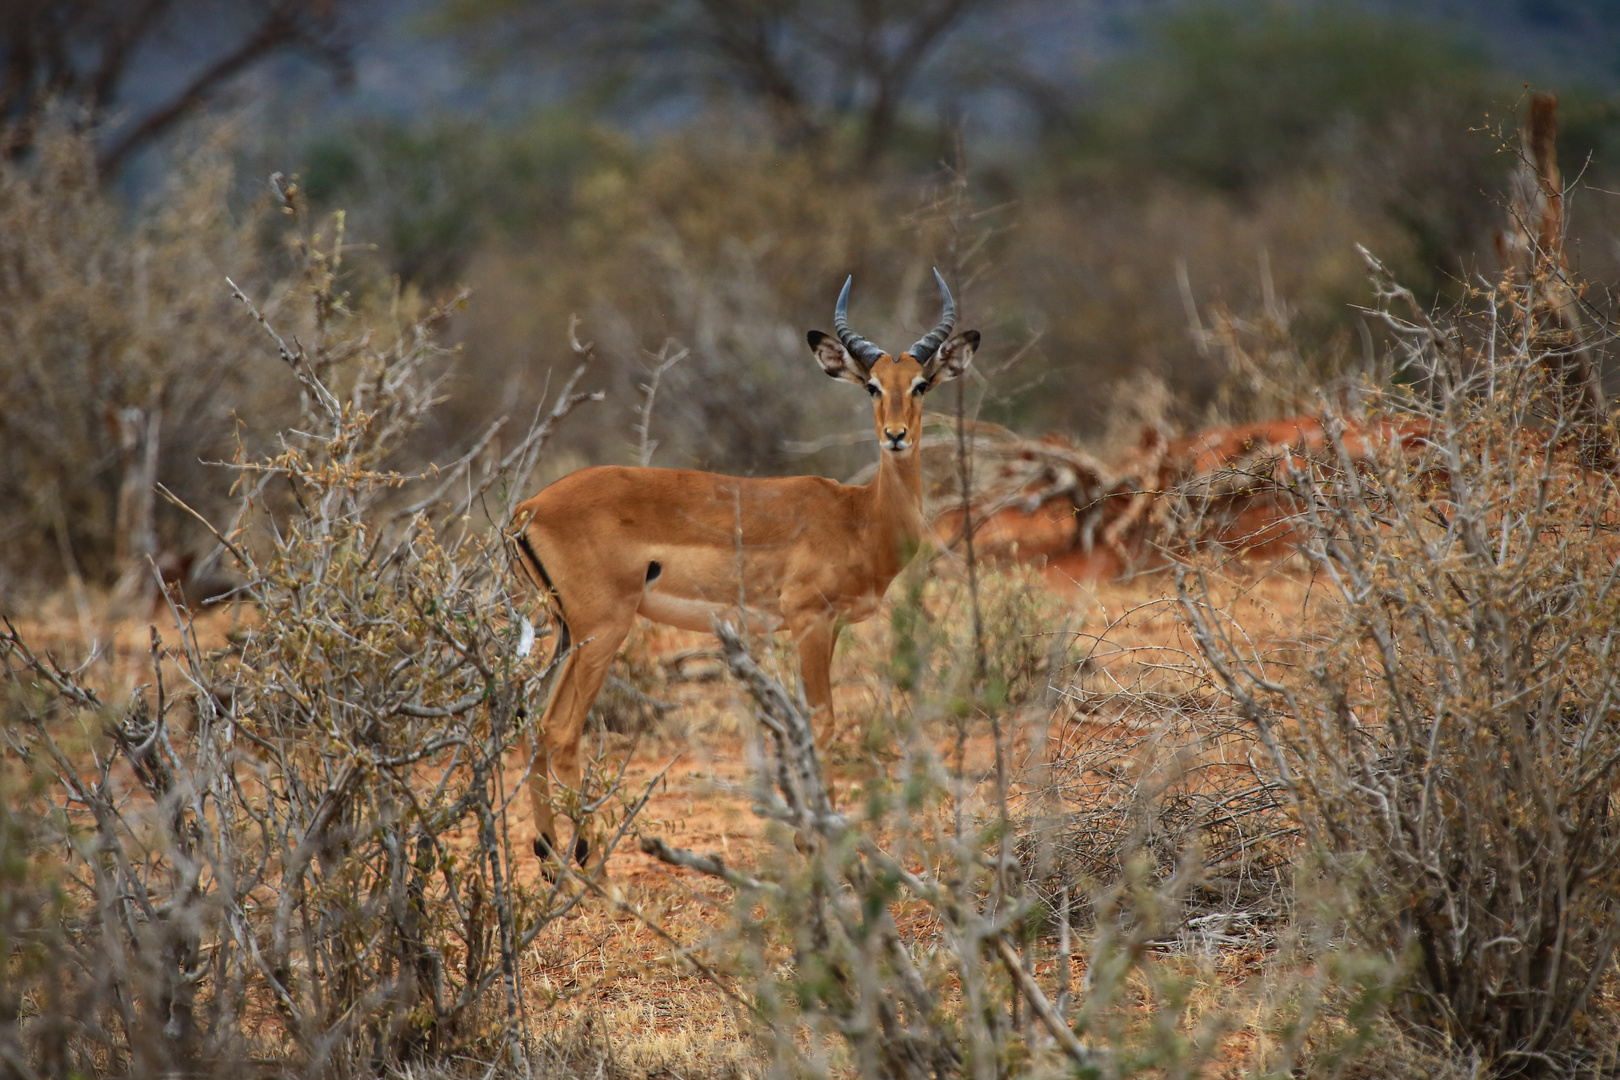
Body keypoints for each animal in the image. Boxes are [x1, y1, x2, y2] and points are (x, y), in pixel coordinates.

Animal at [511, 272, 978, 867]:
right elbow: (819, 721)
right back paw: (590, 867)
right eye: (872, 386)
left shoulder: (828, 627)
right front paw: (817, 841)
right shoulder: (808, 620)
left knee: (534, 725)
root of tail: (529, 508)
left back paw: (550, 857)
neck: (859, 516)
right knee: (562, 730)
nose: (895, 435)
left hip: (565, 632)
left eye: (921, 384)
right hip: (602, 630)